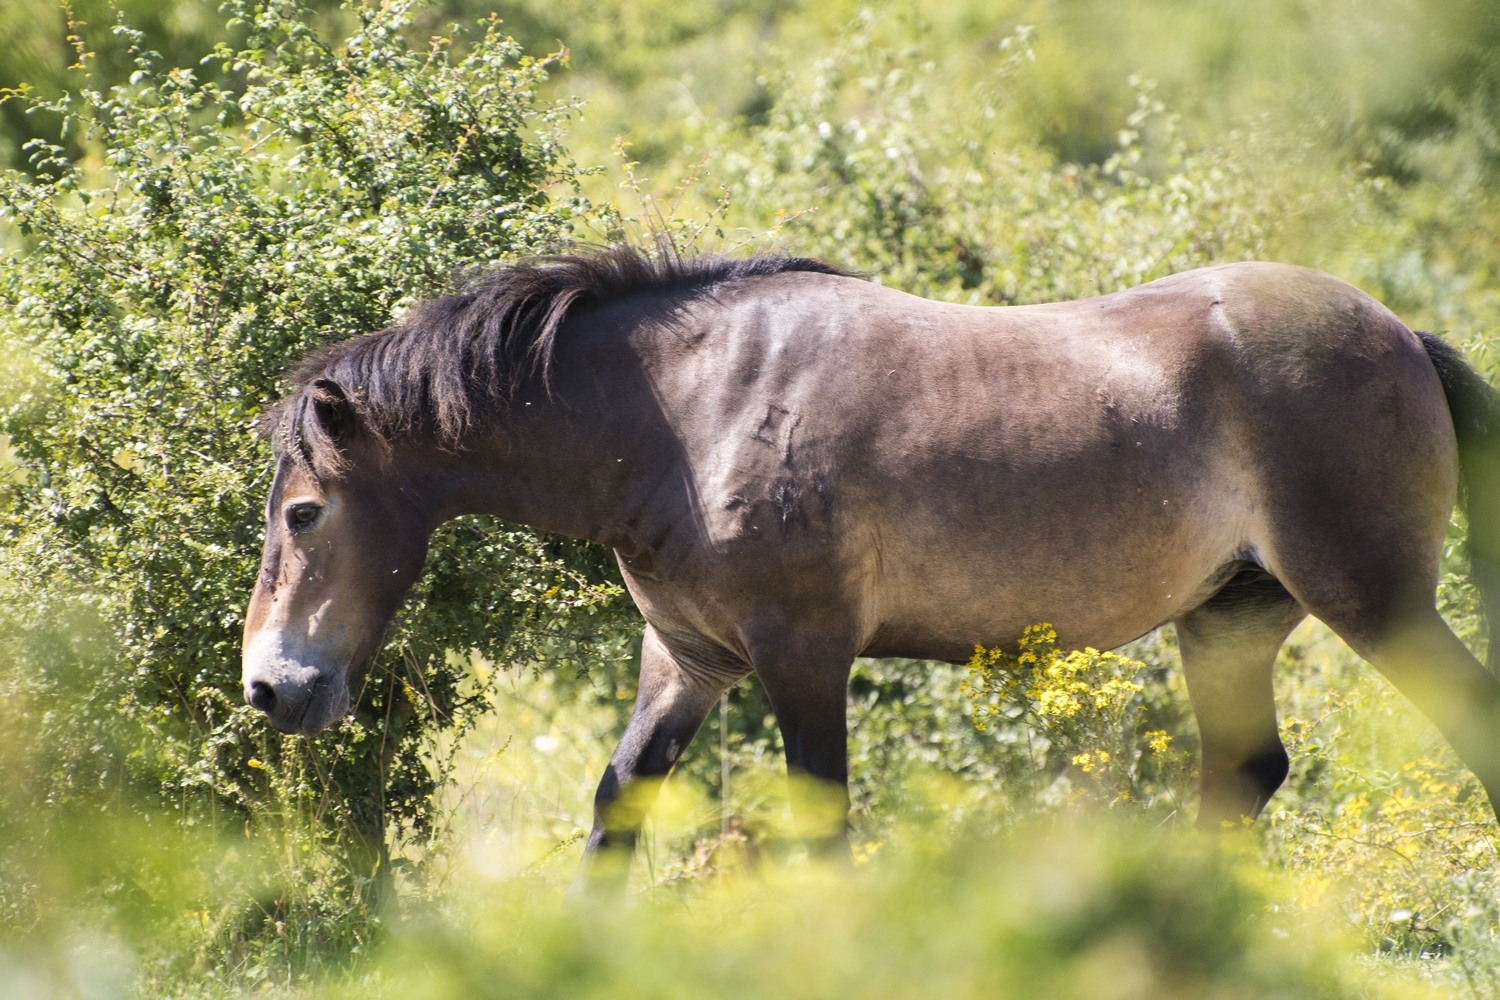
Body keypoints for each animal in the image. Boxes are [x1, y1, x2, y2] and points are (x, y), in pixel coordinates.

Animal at [240, 248, 1500, 893]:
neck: (683, 415)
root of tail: (1403, 334)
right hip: (1228, 623)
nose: (270, 687)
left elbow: (824, 823)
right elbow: (619, 801)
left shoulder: (803, 656)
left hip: (1376, 604)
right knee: (1243, 774)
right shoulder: (690, 660)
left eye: (303, 512)